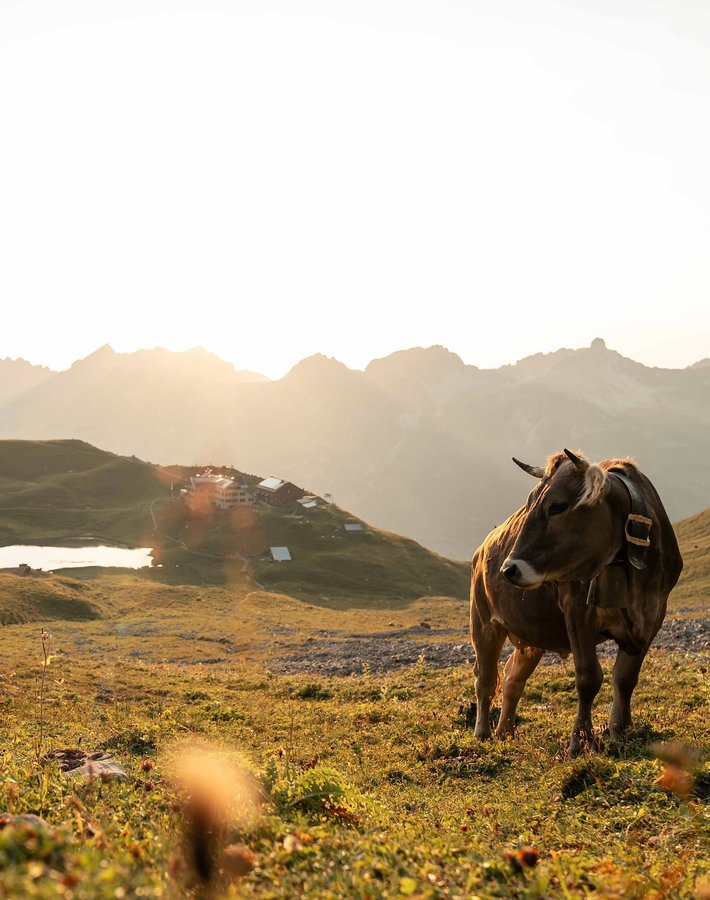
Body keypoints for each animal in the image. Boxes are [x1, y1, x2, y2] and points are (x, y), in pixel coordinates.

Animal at [469, 448, 683, 755]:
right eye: (528, 505)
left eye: (558, 506)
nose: (509, 569)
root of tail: (482, 547)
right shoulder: (577, 610)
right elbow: (588, 678)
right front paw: (579, 740)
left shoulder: (655, 615)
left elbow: (626, 678)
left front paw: (619, 730)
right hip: (484, 623)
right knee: (485, 680)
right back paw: (483, 734)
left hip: (532, 637)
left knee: (512, 678)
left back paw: (505, 732)